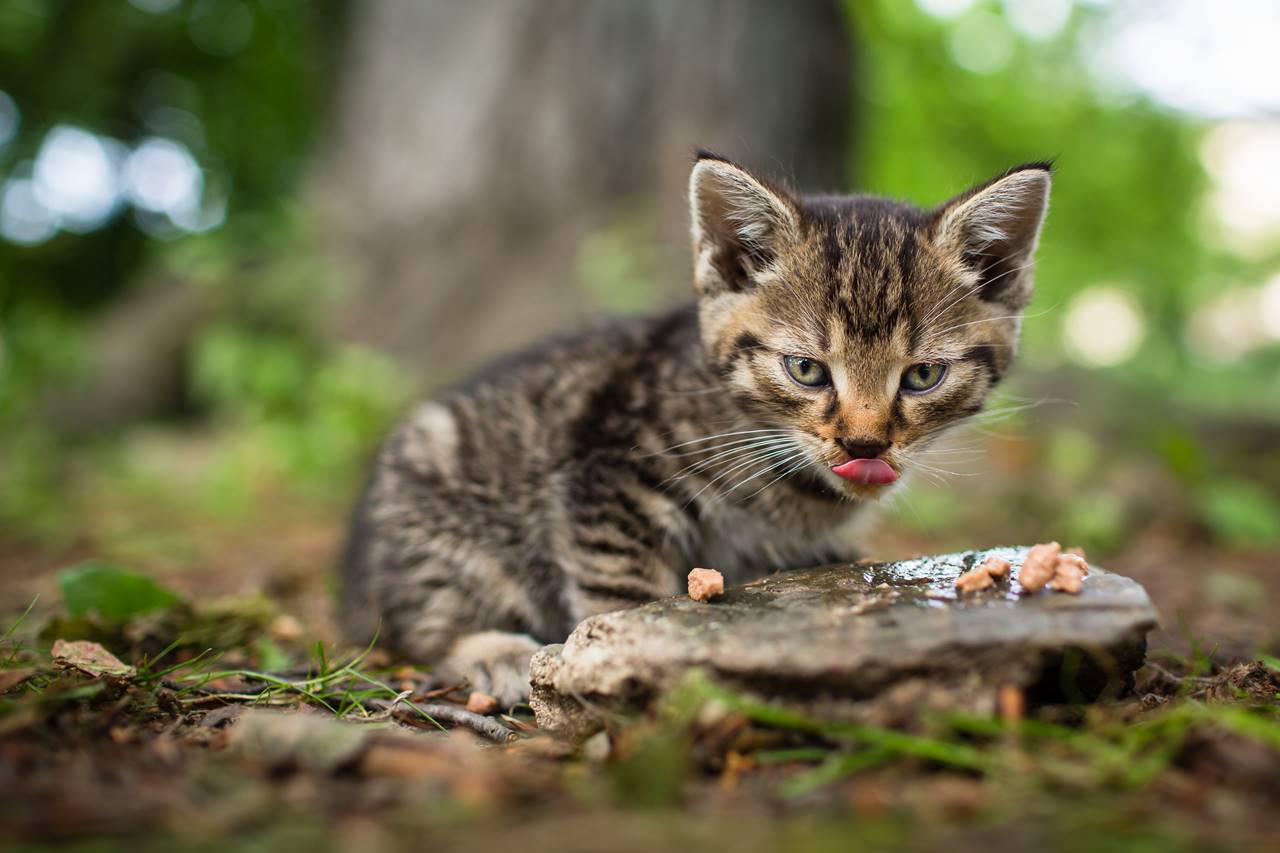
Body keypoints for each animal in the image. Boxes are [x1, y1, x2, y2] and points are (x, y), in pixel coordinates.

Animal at [340, 149, 1049, 701]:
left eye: (922, 376)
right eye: (806, 370)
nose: (864, 442)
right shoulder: (607, 472)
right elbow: (620, 590)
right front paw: (618, 656)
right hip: (437, 502)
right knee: (422, 617)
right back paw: (495, 652)